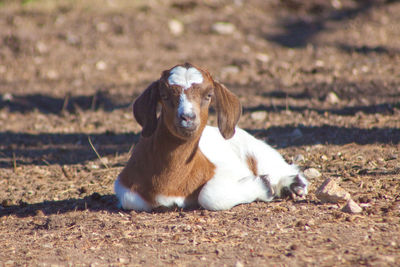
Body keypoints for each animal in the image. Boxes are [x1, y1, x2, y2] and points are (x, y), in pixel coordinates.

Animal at [114, 62, 308, 211]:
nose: (187, 117)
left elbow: (209, 195)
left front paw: (264, 185)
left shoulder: (229, 170)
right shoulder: (125, 187)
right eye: (164, 95)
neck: (171, 184)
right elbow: (131, 199)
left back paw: (294, 184)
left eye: (208, 95)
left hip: (252, 147)